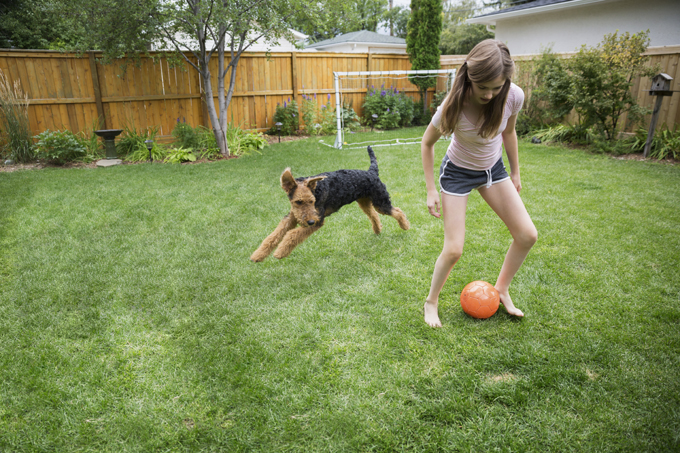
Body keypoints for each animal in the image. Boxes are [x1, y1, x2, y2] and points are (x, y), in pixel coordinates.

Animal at [250, 147, 410, 262]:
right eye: (298, 202)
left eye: (312, 201)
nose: (310, 221)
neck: (316, 191)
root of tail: (372, 172)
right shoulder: (291, 217)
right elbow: (273, 236)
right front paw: (257, 256)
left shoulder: (318, 219)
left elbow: (291, 235)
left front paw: (280, 252)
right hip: (365, 202)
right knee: (374, 215)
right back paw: (377, 230)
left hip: (381, 202)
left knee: (398, 211)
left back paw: (405, 226)